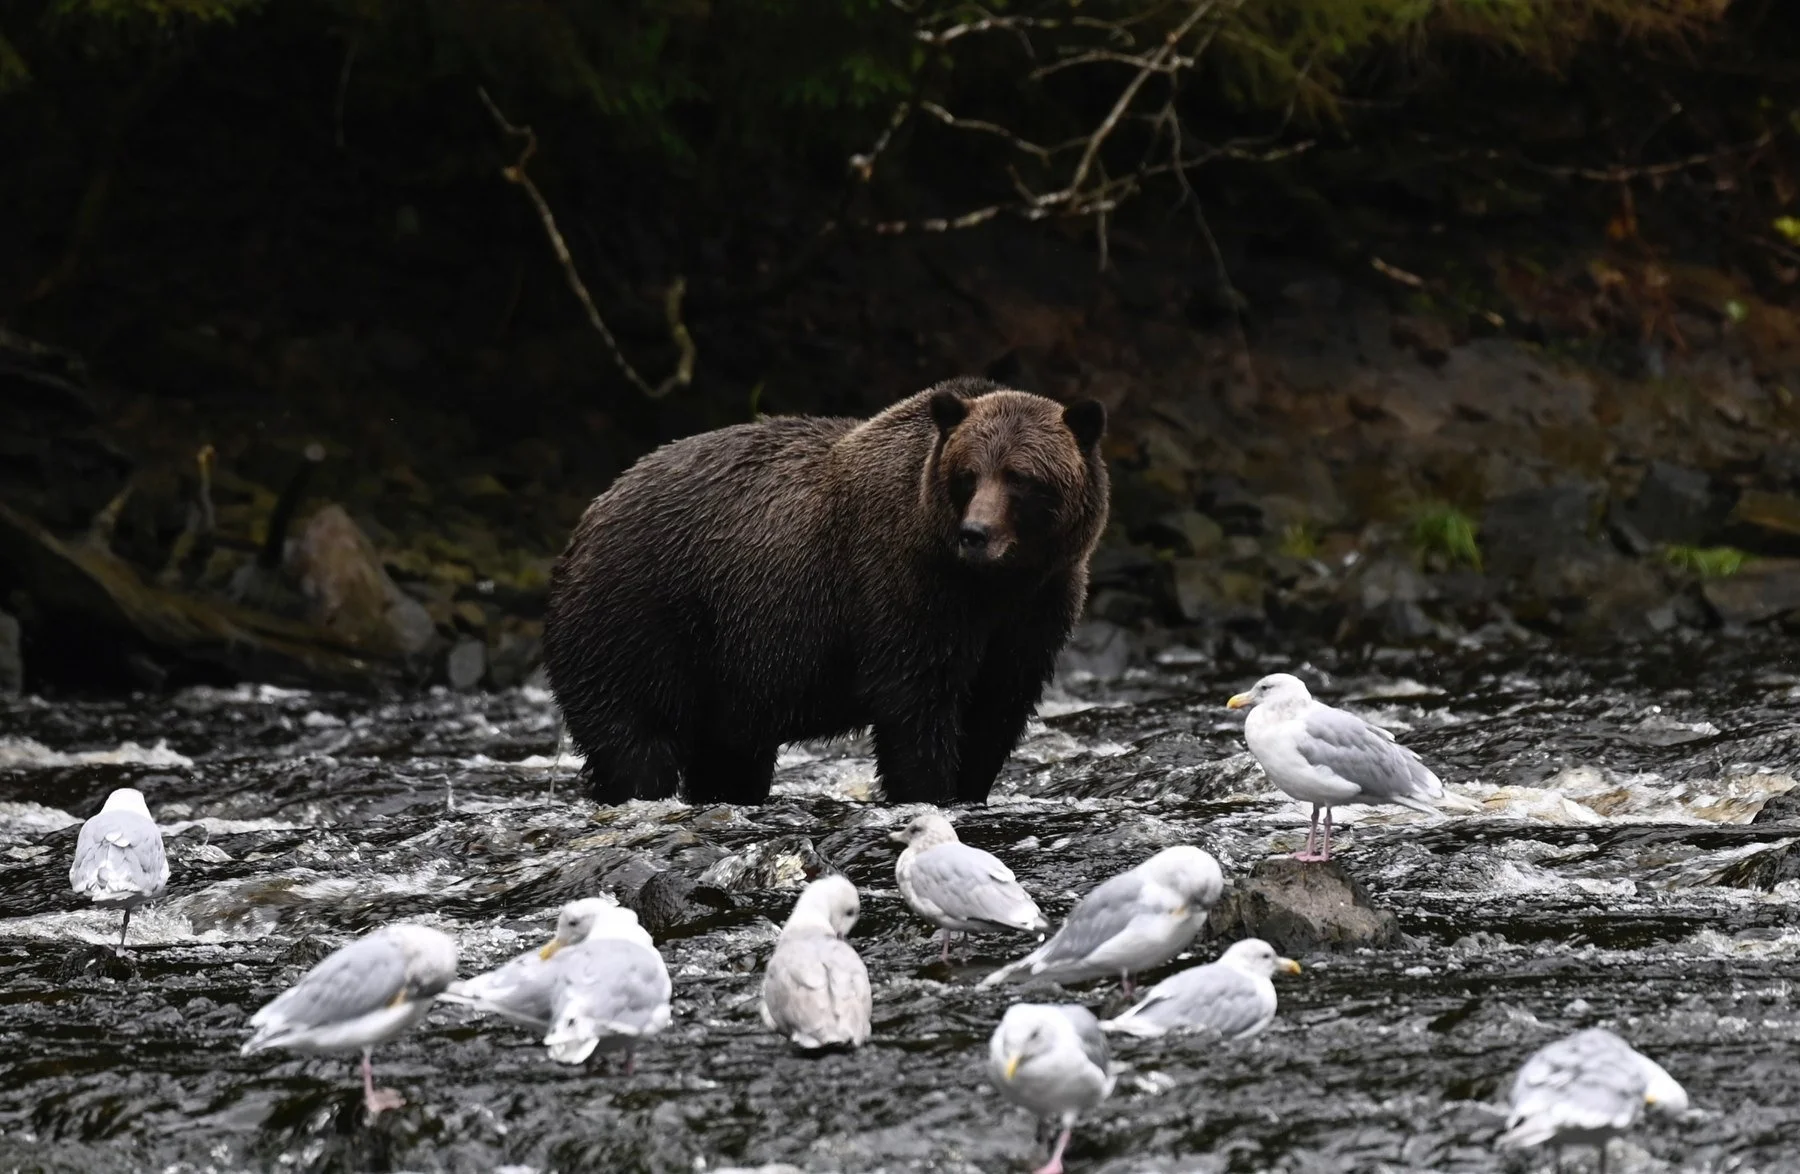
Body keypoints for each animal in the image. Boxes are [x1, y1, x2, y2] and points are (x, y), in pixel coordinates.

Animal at [541, 376, 1109, 806]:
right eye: (969, 474)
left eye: (1020, 477)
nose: (976, 534)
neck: (993, 583)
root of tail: (591, 513)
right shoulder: (908, 588)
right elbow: (917, 704)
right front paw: (927, 791)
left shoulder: (1037, 607)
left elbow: (998, 706)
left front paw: (970, 789)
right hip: (640, 617)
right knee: (637, 740)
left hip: (722, 671)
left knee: (728, 756)